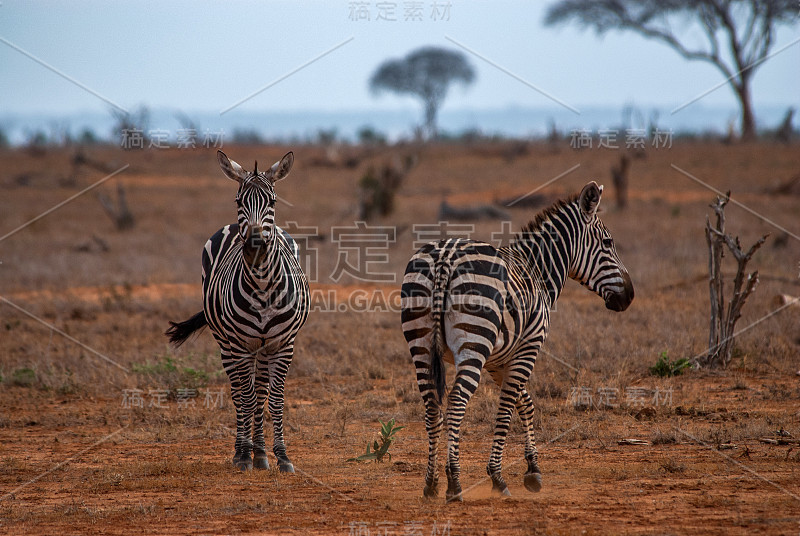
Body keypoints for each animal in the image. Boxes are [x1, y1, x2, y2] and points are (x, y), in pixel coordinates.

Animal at [166, 151, 310, 474]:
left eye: (273, 202)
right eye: (238, 201)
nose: (255, 243)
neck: (263, 287)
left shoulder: (284, 344)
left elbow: (275, 399)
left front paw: (281, 456)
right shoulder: (241, 344)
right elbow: (245, 395)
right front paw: (244, 455)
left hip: (263, 347)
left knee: (260, 392)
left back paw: (261, 452)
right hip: (226, 343)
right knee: (239, 392)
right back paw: (244, 450)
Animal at [404, 182, 636, 500]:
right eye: (608, 242)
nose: (630, 296)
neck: (538, 272)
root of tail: (445, 256)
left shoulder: (498, 360)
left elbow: (525, 403)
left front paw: (532, 469)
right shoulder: (528, 347)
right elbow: (506, 409)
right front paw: (498, 476)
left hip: (422, 346)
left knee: (431, 407)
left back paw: (431, 483)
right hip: (473, 345)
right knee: (455, 403)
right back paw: (454, 483)